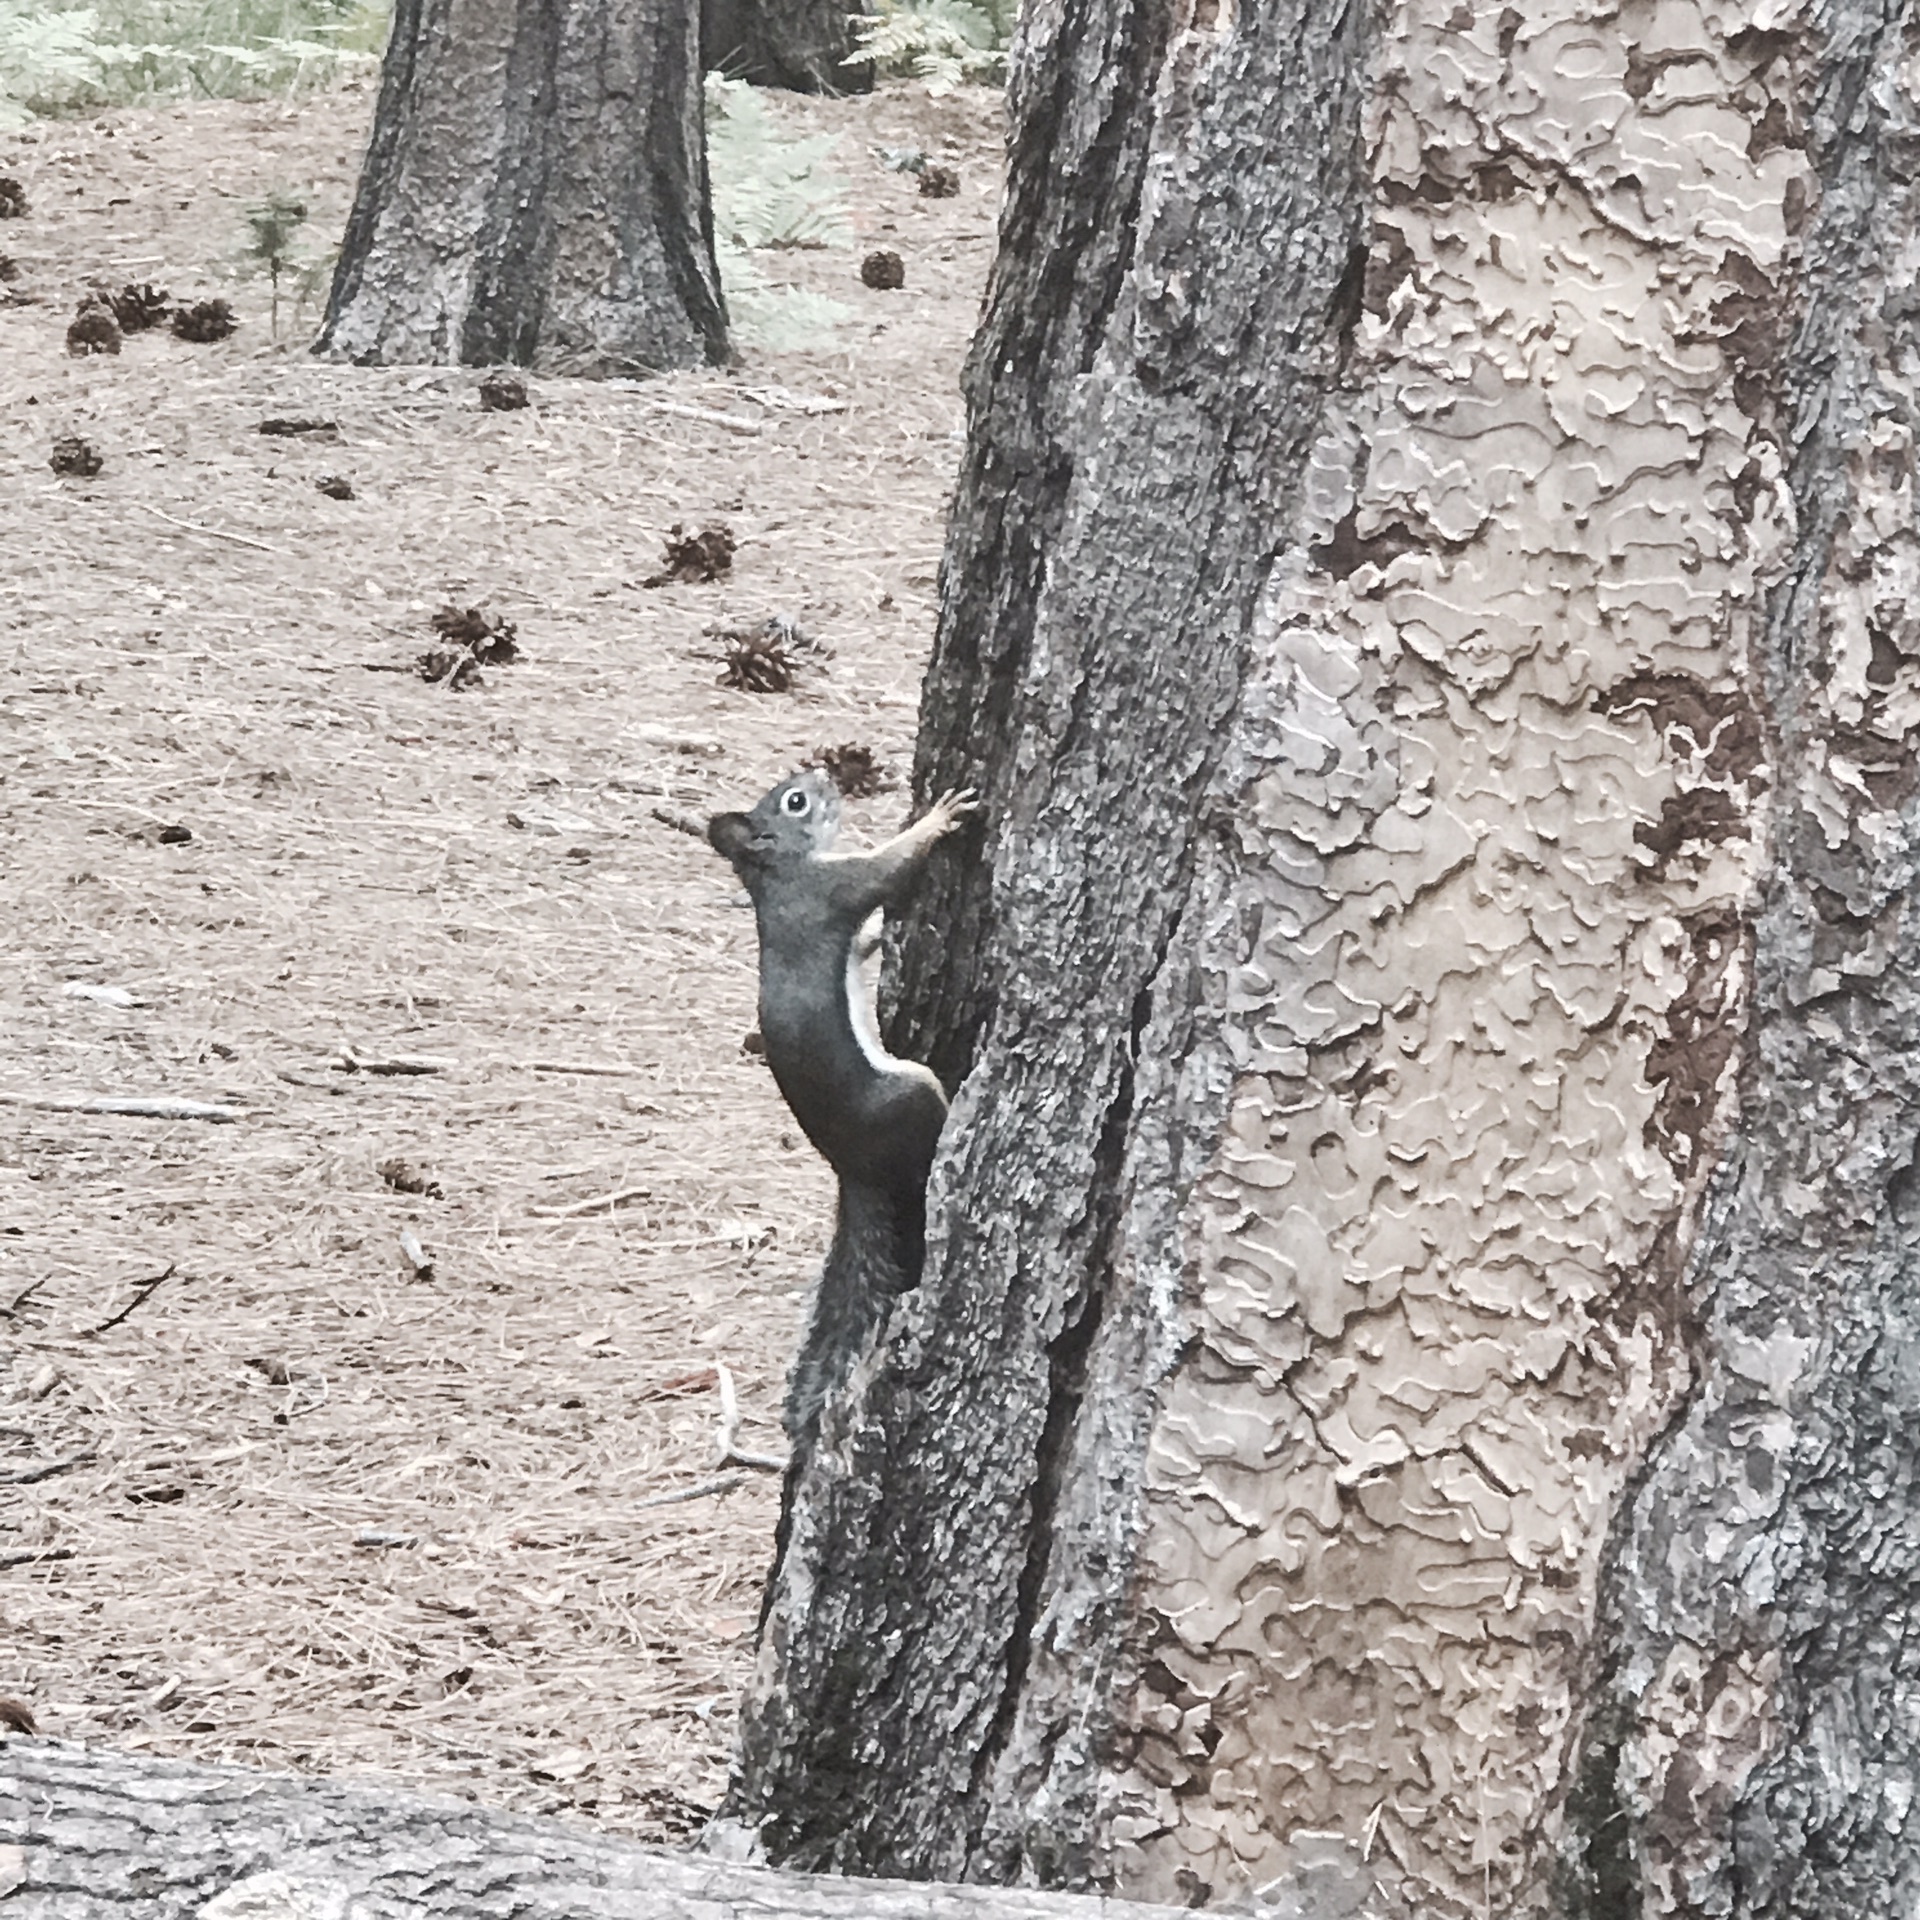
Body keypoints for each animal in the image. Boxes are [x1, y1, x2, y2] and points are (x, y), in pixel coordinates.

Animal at [706, 764, 975, 1443]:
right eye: (796, 801)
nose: (825, 774)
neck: (777, 875)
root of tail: (852, 1169)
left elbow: (865, 940)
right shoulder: (837, 887)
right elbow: (890, 867)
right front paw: (939, 816)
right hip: (910, 1093)